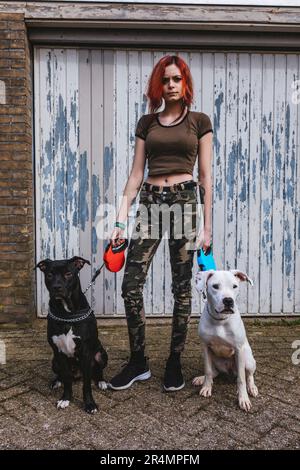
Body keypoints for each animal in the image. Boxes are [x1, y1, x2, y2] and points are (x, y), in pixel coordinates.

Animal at [35, 255, 108, 414]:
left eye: (68, 274)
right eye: (49, 275)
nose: (57, 287)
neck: (67, 313)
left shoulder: (86, 353)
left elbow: (86, 385)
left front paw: (90, 404)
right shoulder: (60, 353)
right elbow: (67, 379)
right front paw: (65, 399)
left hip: (101, 355)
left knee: (97, 371)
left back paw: (101, 381)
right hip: (54, 361)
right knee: (62, 375)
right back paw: (57, 381)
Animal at [193, 272, 258, 412]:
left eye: (234, 286)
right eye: (215, 286)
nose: (228, 300)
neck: (220, 320)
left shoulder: (239, 350)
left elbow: (241, 379)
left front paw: (243, 399)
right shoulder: (205, 347)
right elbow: (208, 371)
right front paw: (206, 387)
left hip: (248, 360)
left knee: (248, 375)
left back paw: (252, 388)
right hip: (213, 359)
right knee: (214, 372)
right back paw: (201, 379)